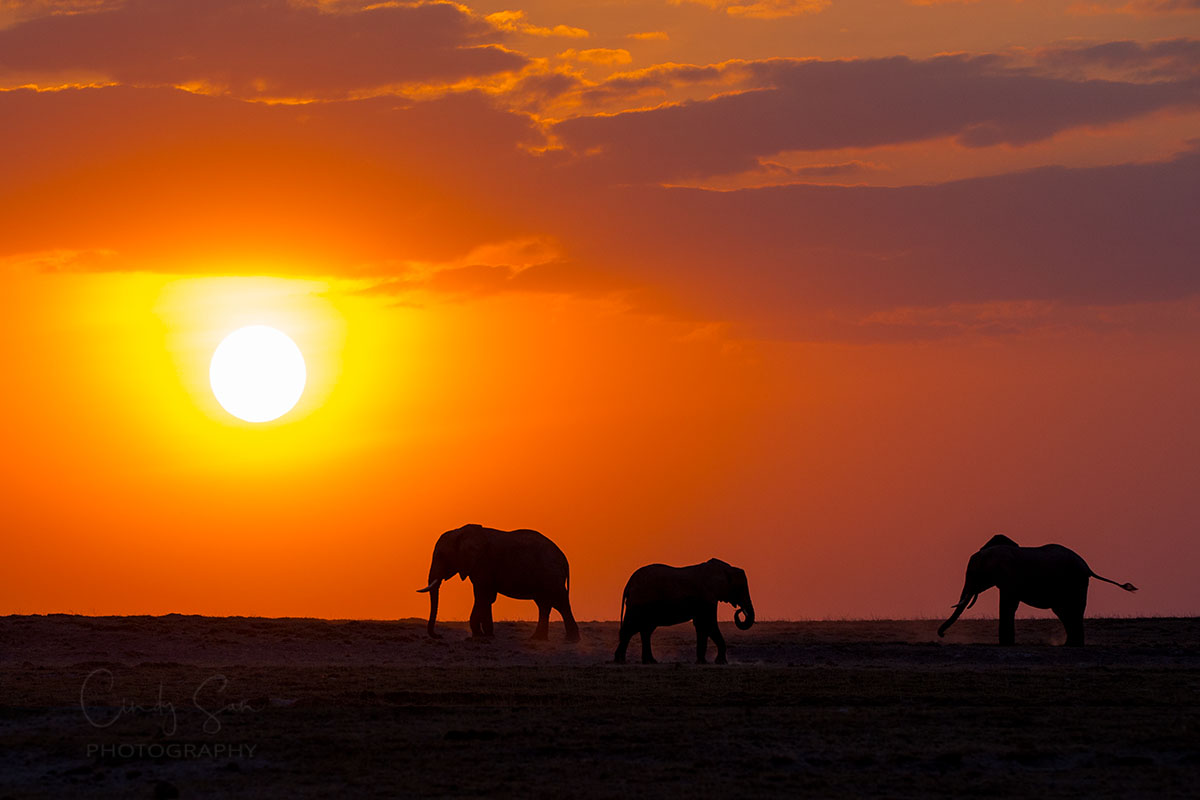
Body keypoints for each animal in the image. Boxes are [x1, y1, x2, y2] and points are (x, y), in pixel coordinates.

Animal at [416, 524, 580, 642]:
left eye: (441, 555)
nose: (439, 636)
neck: (461, 532)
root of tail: (564, 559)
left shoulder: (482, 563)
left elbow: (481, 596)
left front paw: (478, 635)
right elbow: (487, 598)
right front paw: (487, 635)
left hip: (551, 574)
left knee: (560, 603)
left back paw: (571, 640)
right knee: (545, 604)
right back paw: (538, 639)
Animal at [614, 558, 754, 664]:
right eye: (741, 588)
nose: (740, 610)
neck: (726, 569)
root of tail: (629, 583)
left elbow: (702, 625)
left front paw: (702, 662)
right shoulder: (707, 597)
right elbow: (709, 624)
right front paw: (721, 662)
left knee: (645, 630)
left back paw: (649, 661)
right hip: (638, 604)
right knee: (630, 628)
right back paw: (620, 661)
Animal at [937, 534, 1138, 646]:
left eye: (973, 574)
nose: (942, 635)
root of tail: (1088, 567)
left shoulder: (1010, 578)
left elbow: (1008, 605)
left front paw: (1006, 644)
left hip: (1076, 583)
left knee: (1073, 609)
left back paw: (1074, 645)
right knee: (1064, 611)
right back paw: (1070, 644)